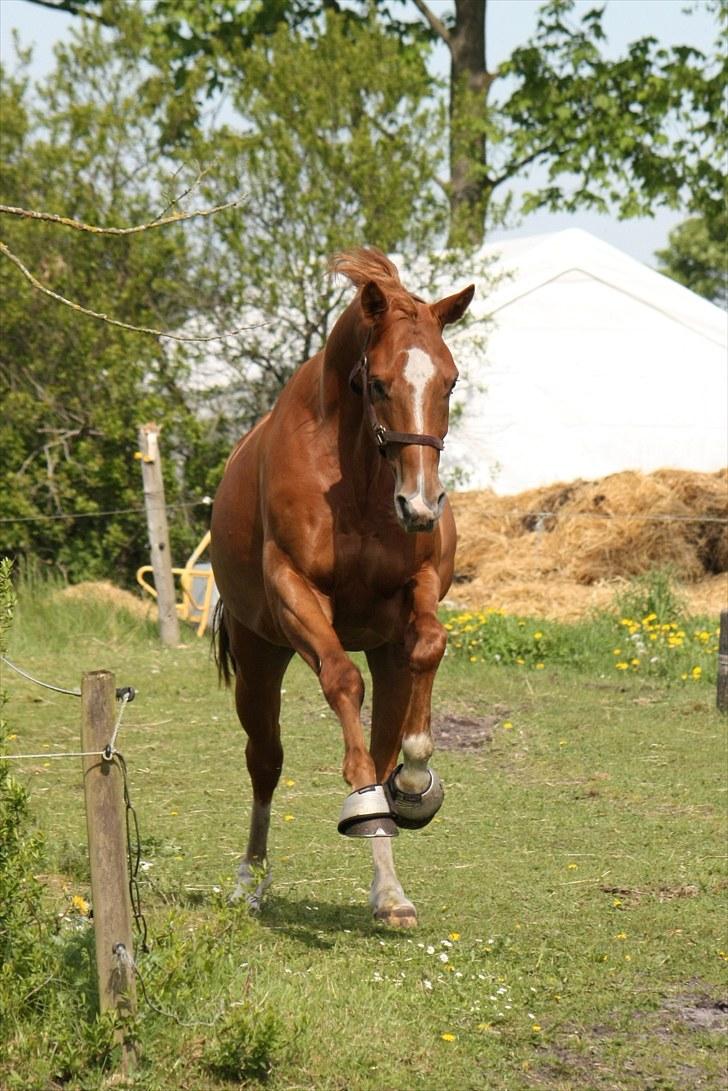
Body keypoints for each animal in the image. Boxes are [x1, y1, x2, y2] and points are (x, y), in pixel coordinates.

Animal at [210, 249, 473, 929]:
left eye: (450, 382)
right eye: (377, 383)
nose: (421, 505)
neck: (353, 472)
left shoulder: (416, 590)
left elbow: (429, 647)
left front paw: (414, 784)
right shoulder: (295, 593)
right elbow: (341, 681)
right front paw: (362, 802)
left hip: (383, 651)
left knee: (382, 740)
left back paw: (390, 889)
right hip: (259, 658)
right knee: (265, 762)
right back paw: (250, 881)